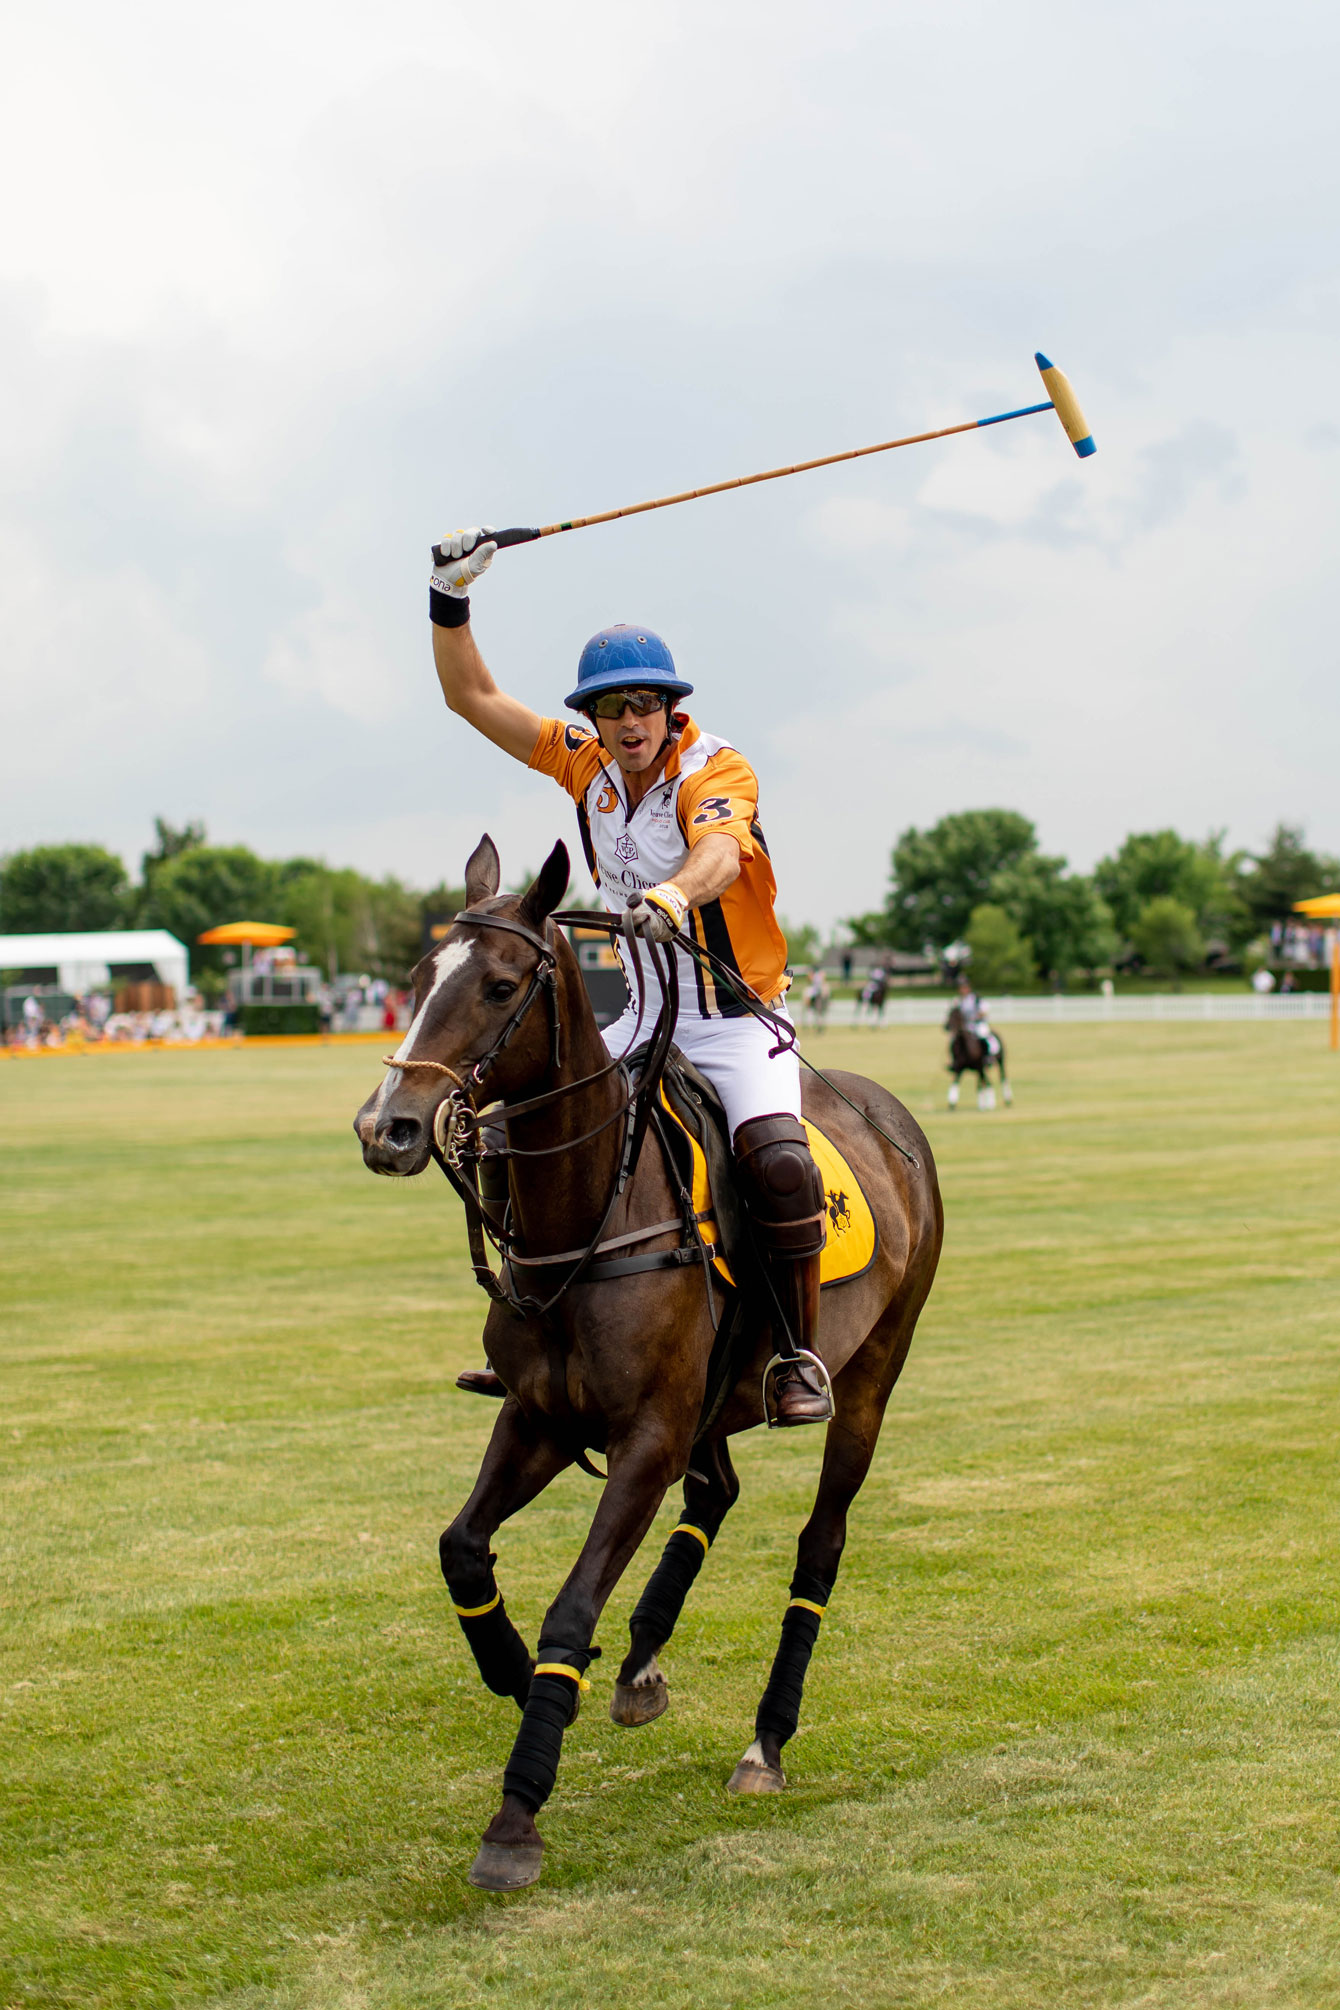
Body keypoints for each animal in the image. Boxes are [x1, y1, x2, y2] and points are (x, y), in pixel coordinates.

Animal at [355, 840, 944, 1889]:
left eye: (499, 985)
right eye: (417, 979)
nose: (388, 1129)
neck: (592, 1210)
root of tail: (892, 1114)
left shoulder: (644, 1438)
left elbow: (571, 1607)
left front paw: (516, 1817)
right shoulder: (542, 1418)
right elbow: (461, 1547)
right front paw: (516, 1674)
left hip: (873, 1374)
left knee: (820, 1542)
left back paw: (765, 1743)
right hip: (711, 1402)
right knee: (718, 1491)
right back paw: (638, 1666)